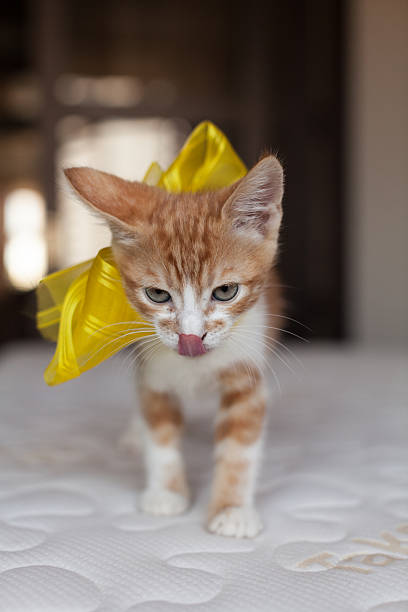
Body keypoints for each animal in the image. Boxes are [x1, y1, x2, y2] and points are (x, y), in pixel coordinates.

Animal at [65, 155, 286, 536]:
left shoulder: (247, 375)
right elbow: (160, 431)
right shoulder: (152, 373)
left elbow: (240, 446)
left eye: (226, 291)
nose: (190, 337)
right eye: (157, 294)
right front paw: (166, 493)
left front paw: (232, 509)